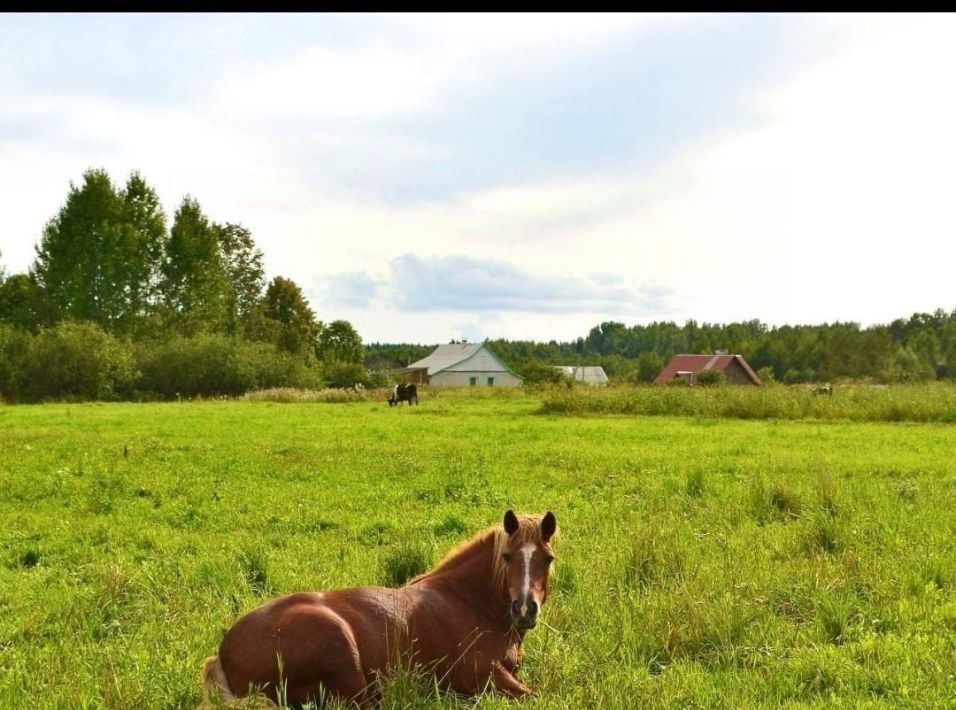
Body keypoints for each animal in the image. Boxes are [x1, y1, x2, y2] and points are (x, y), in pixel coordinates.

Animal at [202, 508, 560, 708]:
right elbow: (539, 694)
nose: (524, 609)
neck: (468, 602)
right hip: (341, 650)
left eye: (548, 559)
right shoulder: (487, 678)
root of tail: (224, 653)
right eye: (507, 557)